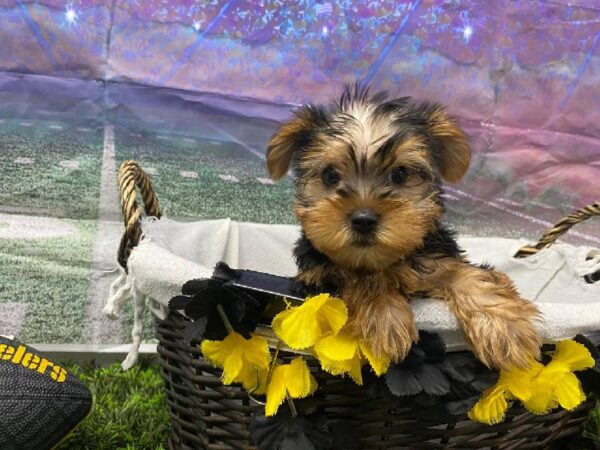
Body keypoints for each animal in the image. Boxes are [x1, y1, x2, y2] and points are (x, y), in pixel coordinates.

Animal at [264, 83, 540, 370]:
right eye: (330, 175)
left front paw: (505, 330)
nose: (363, 219)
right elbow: (355, 278)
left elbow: (469, 276)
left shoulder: (438, 261)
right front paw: (386, 319)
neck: (382, 262)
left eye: (400, 174)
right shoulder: (315, 278)